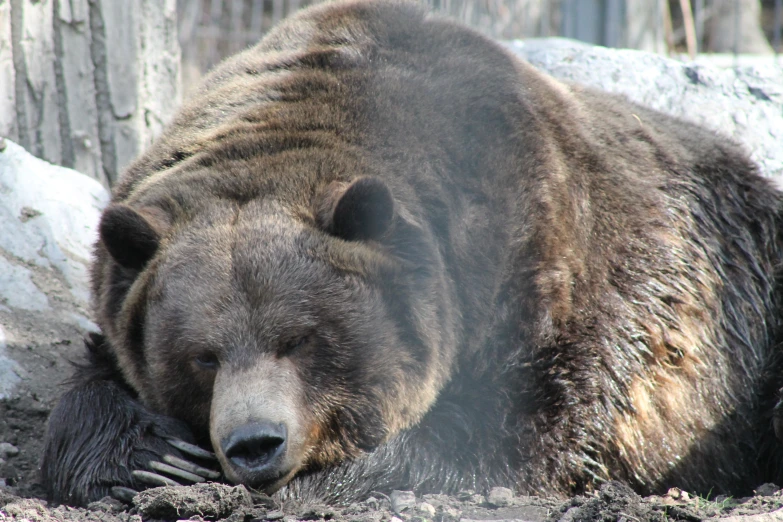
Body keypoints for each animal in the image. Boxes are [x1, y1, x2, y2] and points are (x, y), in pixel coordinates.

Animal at [41, 0, 783, 506]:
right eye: (202, 355)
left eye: (300, 338)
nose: (254, 442)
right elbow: (94, 386)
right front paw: (155, 455)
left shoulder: (558, 287)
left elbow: (513, 431)